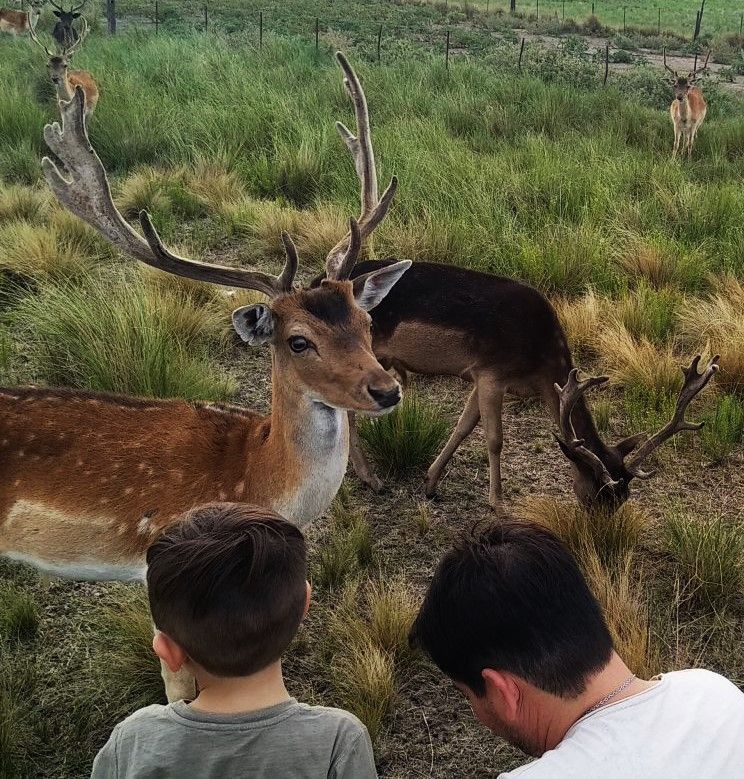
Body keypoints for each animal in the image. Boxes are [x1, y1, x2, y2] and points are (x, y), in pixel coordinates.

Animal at [336, 258, 716, 512]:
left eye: (623, 497)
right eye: (600, 493)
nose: (606, 538)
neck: (540, 362)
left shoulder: (478, 377)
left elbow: (464, 425)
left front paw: (430, 483)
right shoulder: (492, 372)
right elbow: (494, 439)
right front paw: (498, 503)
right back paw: (370, 479)